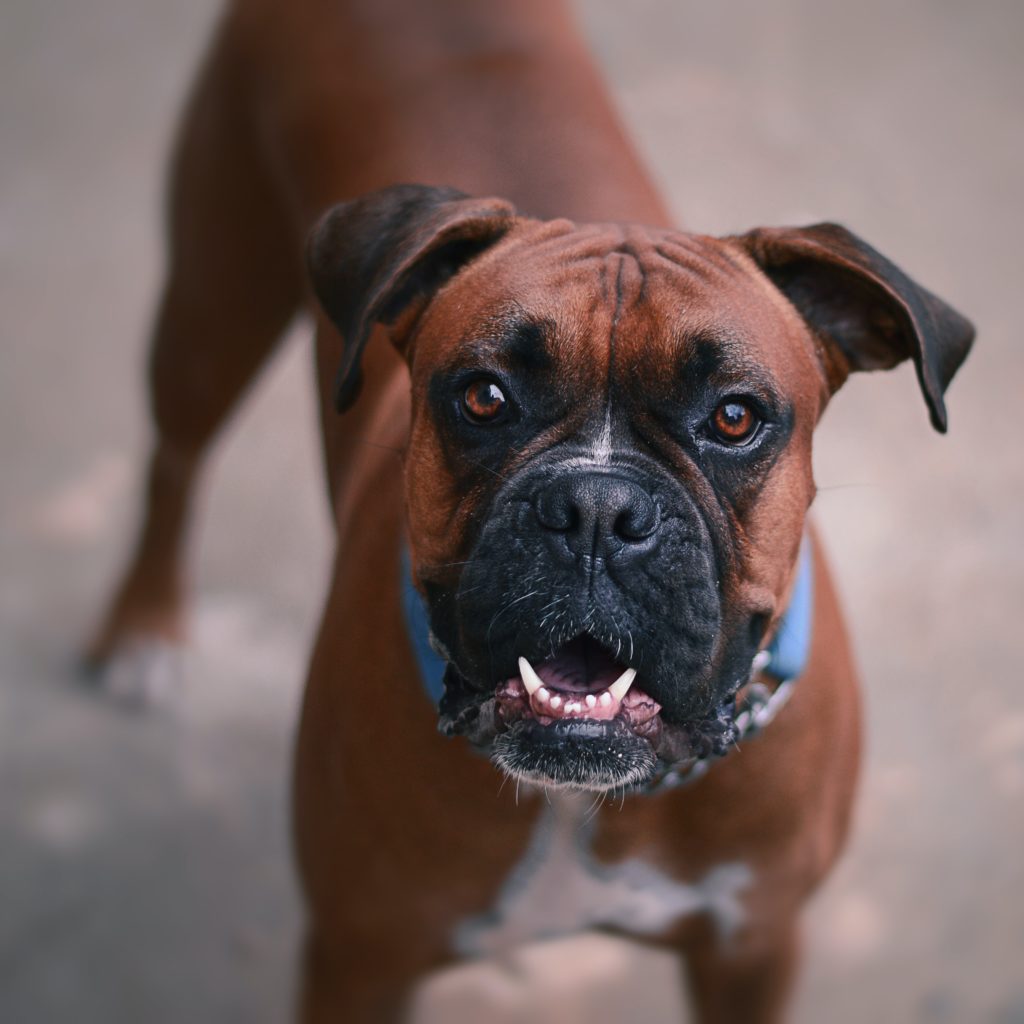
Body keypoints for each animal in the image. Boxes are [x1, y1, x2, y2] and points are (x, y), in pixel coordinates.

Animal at [88, 2, 974, 1024]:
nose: (596, 507)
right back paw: (142, 629)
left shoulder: (752, 949)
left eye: (735, 417)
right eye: (483, 397)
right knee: (174, 463)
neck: (582, 803)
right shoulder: (359, 955)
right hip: (209, 309)